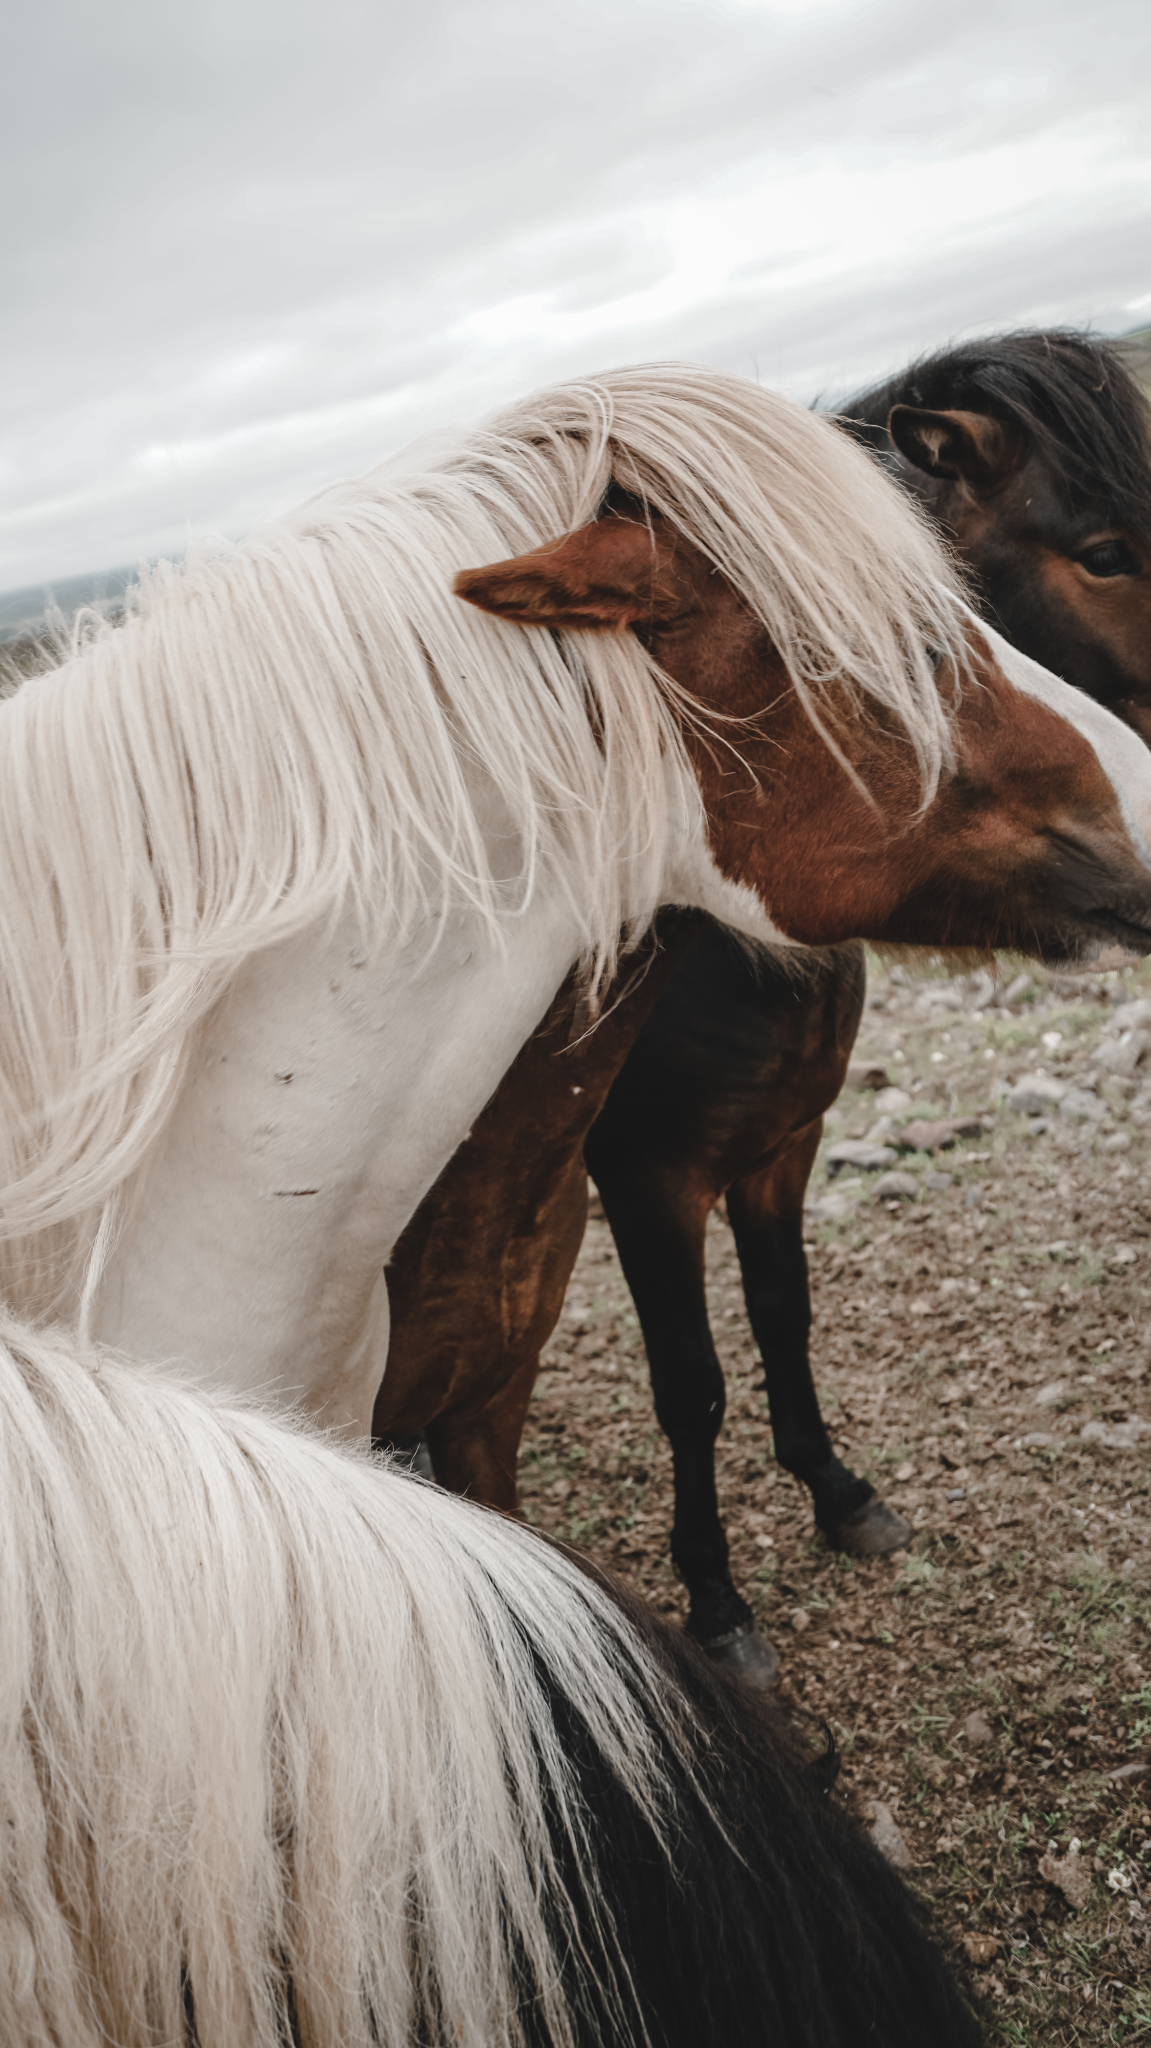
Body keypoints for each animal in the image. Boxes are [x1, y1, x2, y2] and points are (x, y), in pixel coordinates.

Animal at [376, 331, 1146, 1679]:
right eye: (1104, 551)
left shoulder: (781, 1144)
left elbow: (783, 1317)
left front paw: (839, 1493)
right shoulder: (649, 1181)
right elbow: (691, 1381)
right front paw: (717, 1598)